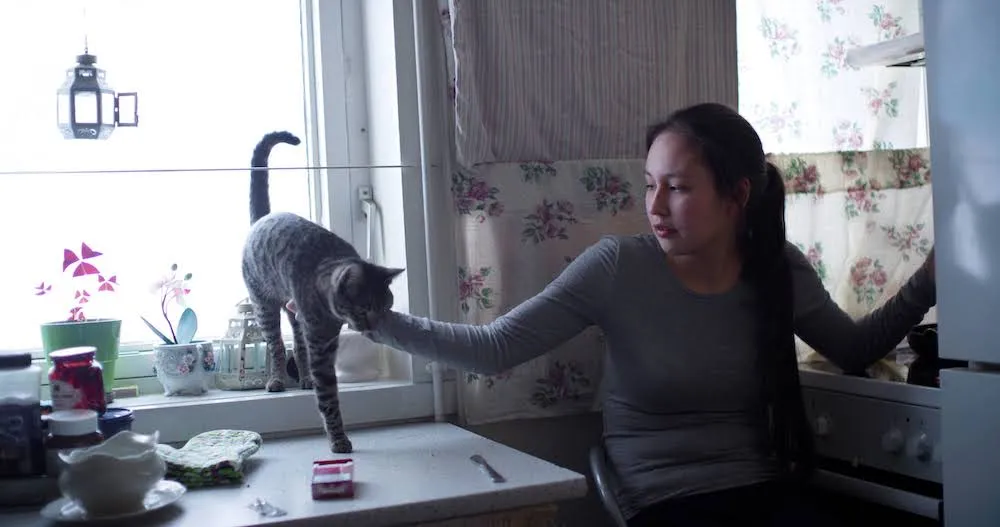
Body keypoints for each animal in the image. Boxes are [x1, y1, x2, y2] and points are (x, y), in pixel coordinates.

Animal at [240, 131, 404, 454]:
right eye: (364, 308)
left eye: (385, 308)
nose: (373, 327)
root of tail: (262, 219)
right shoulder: (321, 344)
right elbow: (328, 397)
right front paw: (338, 438)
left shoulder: (324, 339)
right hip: (263, 305)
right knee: (277, 346)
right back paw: (277, 380)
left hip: (293, 316)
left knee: (297, 344)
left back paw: (303, 378)